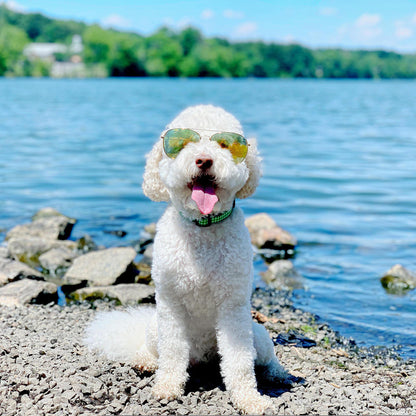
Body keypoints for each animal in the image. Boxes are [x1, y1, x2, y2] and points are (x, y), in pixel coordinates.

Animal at [84, 104, 286, 412]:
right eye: (183, 143)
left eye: (224, 144)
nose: (203, 160)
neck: (202, 227)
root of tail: (203, 360)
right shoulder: (170, 304)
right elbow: (172, 351)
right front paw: (168, 387)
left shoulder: (233, 307)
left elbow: (239, 361)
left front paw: (249, 399)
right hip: (154, 328)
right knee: (155, 349)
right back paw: (144, 361)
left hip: (258, 335)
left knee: (266, 356)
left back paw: (277, 373)